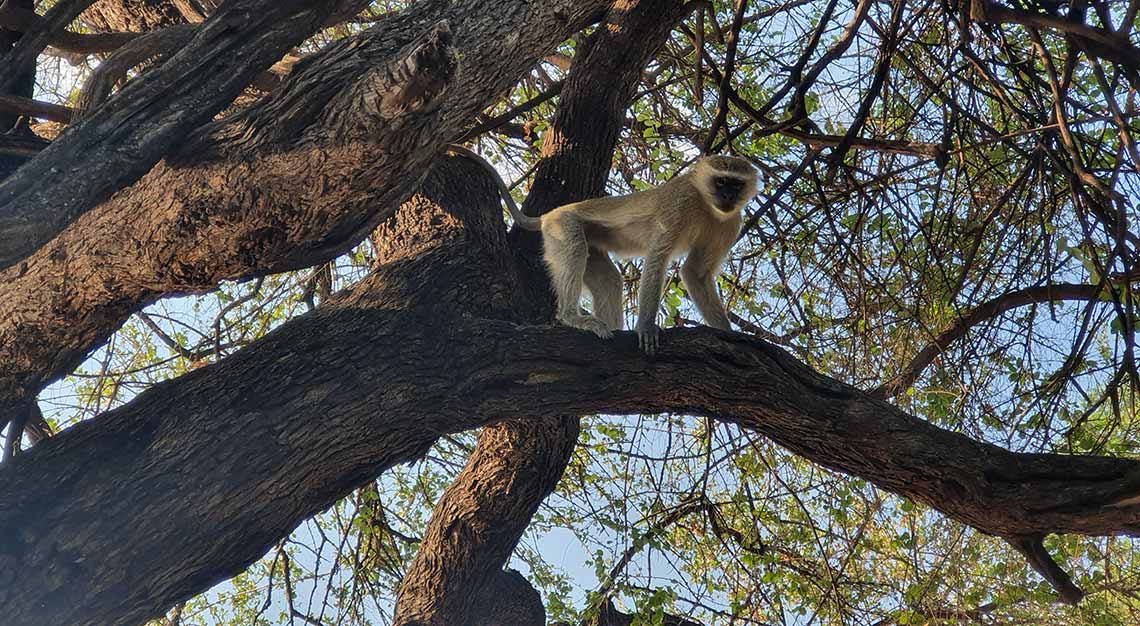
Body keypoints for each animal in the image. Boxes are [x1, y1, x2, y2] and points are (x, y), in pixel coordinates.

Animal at [444, 144, 756, 353]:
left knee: (609, 280)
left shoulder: (731, 223)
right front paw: (646, 327)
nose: (728, 196)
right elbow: (658, 256)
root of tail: (548, 215)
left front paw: (728, 332)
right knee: (574, 251)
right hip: (562, 227)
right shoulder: (681, 202)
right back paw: (571, 317)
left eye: (736, 184)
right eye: (721, 180)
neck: (705, 204)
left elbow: (696, 272)